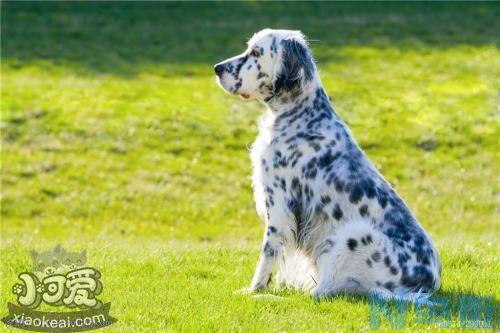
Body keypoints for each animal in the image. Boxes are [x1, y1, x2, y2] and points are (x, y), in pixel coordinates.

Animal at [213, 28, 440, 298]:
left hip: (353, 235)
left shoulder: (279, 206)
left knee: (321, 292)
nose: (216, 68)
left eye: (256, 52)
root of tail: (427, 283)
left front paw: (254, 290)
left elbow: (268, 254)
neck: (301, 115)